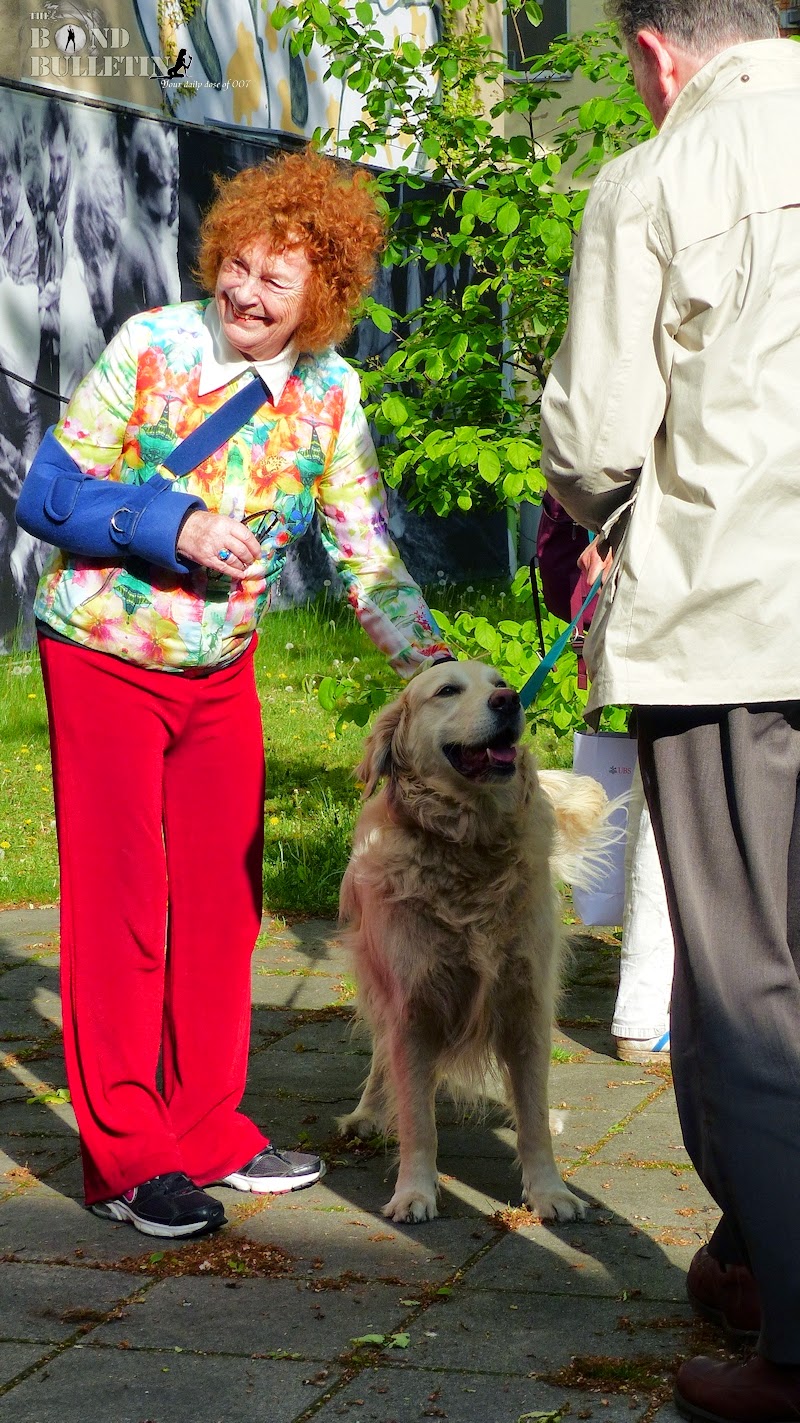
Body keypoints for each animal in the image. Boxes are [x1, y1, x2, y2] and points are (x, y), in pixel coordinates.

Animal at [338, 659, 615, 1225]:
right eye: (446, 690)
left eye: (499, 683)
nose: (510, 701)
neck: (472, 846)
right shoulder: (412, 1008)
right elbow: (417, 1119)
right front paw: (414, 1191)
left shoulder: (526, 1005)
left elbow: (532, 1114)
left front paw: (550, 1190)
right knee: (381, 1056)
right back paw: (368, 1112)